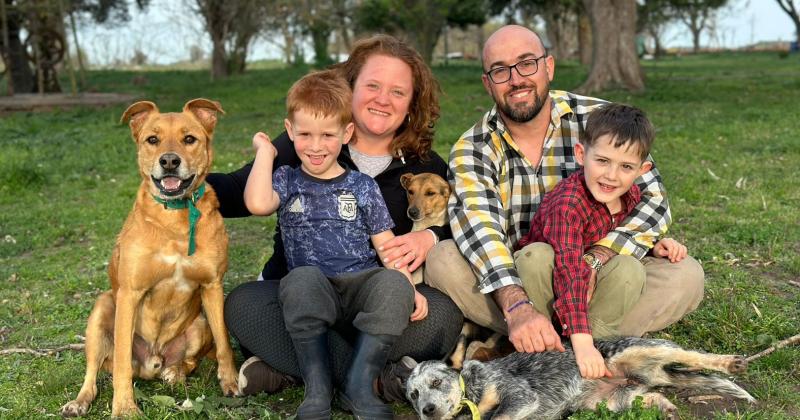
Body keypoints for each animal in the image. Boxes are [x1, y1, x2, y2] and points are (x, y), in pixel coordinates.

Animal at [61, 98, 239, 416]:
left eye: (189, 139)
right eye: (152, 140)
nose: (169, 161)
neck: (174, 219)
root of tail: (152, 362)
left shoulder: (213, 287)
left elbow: (224, 343)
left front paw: (230, 382)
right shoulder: (130, 294)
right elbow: (120, 362)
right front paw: (124, 409)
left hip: (199, 323)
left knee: (188, 361)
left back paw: (175, 371)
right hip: (103, 309)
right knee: (95, 370)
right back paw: (79, 402)